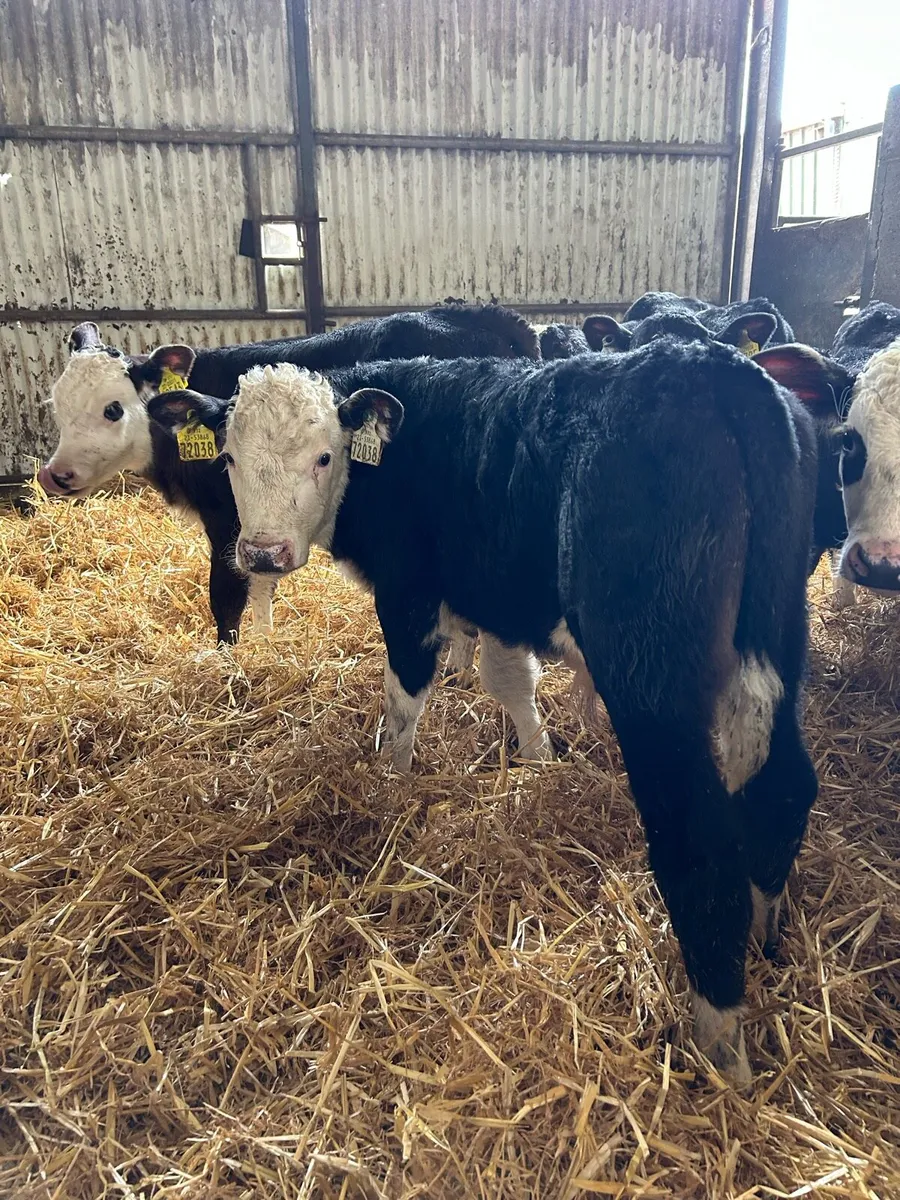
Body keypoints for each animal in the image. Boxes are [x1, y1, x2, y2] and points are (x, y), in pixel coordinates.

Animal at [36, 304, 538, 645]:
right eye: (57, 405)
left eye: (112, 409)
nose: (54, 476)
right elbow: (261, 586)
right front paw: (266, 644)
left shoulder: (227, 524)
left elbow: (227, 597)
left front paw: (229, 660)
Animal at [147, 343, 819, 1084]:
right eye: (231, 458)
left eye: (324, 456)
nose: (263, 552)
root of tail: (717, 369)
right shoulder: (495, 599)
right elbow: (510, 682)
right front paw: (538, 760)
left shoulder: (409, 593)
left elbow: (405, 697)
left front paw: (392, 781)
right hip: (778, 636)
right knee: (782, 789)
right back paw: (765, 937)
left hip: (652, 677)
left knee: (699, 844)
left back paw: (721, 1044)